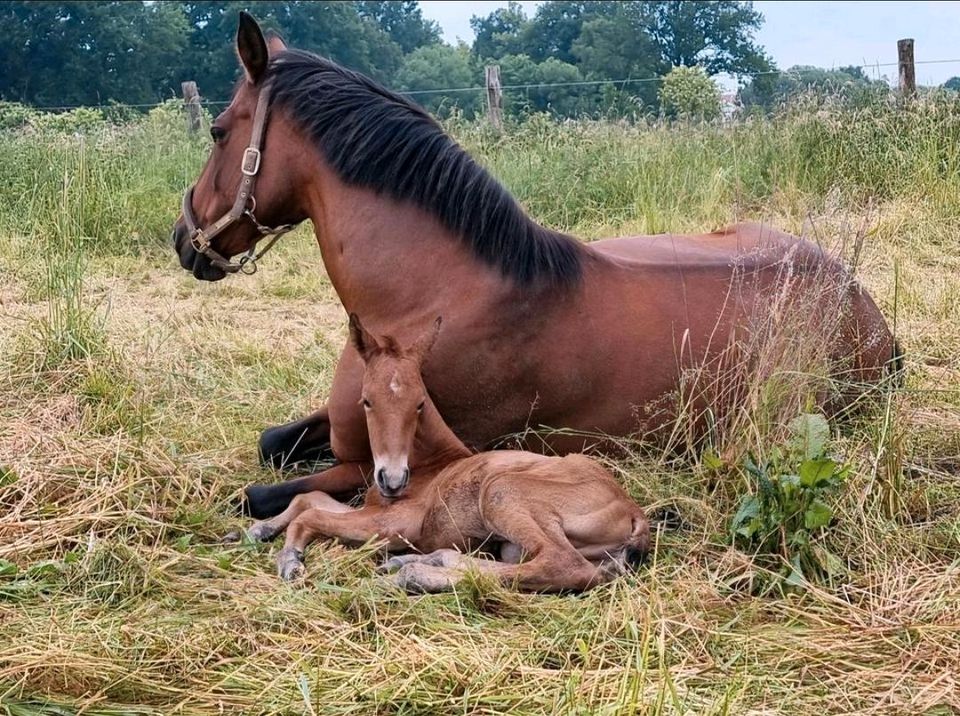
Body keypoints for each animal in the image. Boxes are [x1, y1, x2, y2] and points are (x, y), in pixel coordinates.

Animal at [172, 12, 900, 516]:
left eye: (217, 130)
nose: (184, 239)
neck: (434, 295)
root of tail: (864, 306)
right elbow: (270, 439)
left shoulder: (384, 462)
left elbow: (257, 495)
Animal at [231, 316, 652, 596]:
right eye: (367, 401)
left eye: (420, 403)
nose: (392, 479)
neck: (429, 466)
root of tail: (634, 511)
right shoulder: (373, 510)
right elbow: (309, 498)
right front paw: (257, 530)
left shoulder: (398, 523)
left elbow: (313, 514)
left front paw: (290, 560)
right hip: (520, 544)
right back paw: (419, 563)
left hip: (502, 491)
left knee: (563, 566)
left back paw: (412, 575)